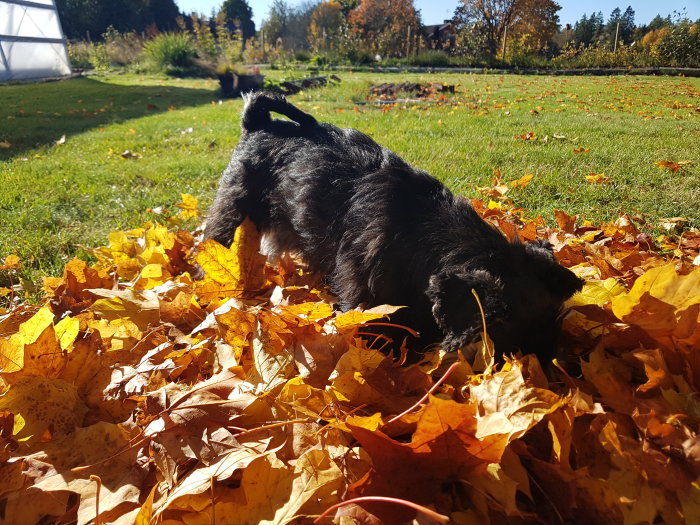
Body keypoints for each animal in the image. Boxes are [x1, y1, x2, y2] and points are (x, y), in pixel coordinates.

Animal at [204, 91, 584, 360]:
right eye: (508, 337)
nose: (551, 366)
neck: (425, 233)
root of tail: (259, 123)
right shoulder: (365, 301)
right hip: (232, 212)